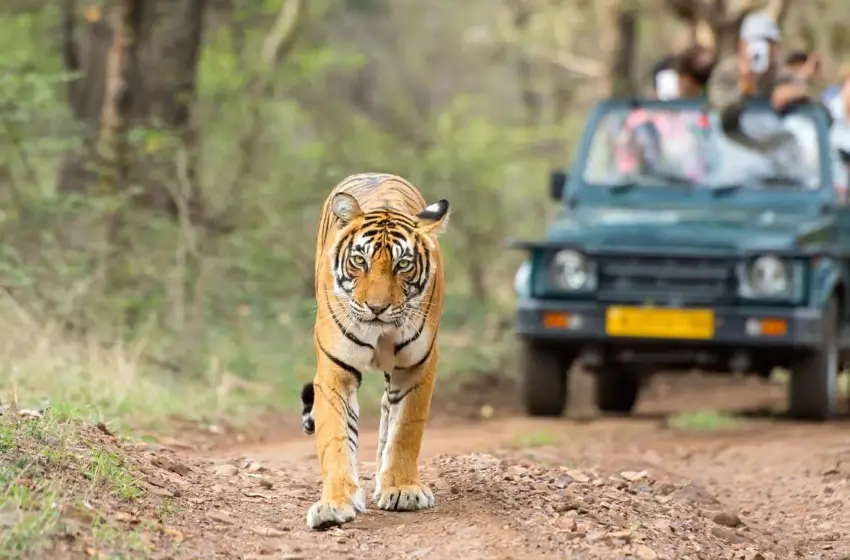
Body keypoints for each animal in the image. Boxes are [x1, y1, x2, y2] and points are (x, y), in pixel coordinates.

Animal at [300, 172, 450, 531]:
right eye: (359, 261)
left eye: (403, 264)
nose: (377, 308)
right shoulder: (335, 371)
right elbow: (336, 439)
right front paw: (334, 504)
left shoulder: (417, 366)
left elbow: (406, 429)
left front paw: (402, 489)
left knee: (387, 411)